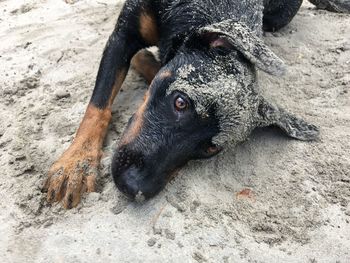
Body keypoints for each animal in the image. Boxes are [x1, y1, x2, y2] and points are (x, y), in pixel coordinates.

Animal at [44, 0, 320, 210]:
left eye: (210, 149)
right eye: (180, 102)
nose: (133, 188)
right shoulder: (122, 35)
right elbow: (99, 105)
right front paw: (76, 163)